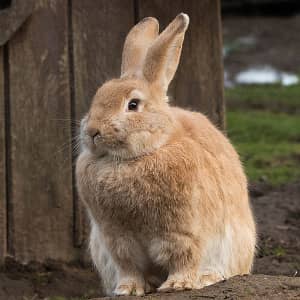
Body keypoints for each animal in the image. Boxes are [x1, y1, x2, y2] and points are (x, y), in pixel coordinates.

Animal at [75, 12, 255, 296]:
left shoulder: (182, 233)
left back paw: (206, 278)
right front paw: (127, 290)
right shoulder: (117, 240)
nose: (93, 130)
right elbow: (129, 267)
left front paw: (177, 285)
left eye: (133, 105)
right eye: (98, 97)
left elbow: (183, 258)